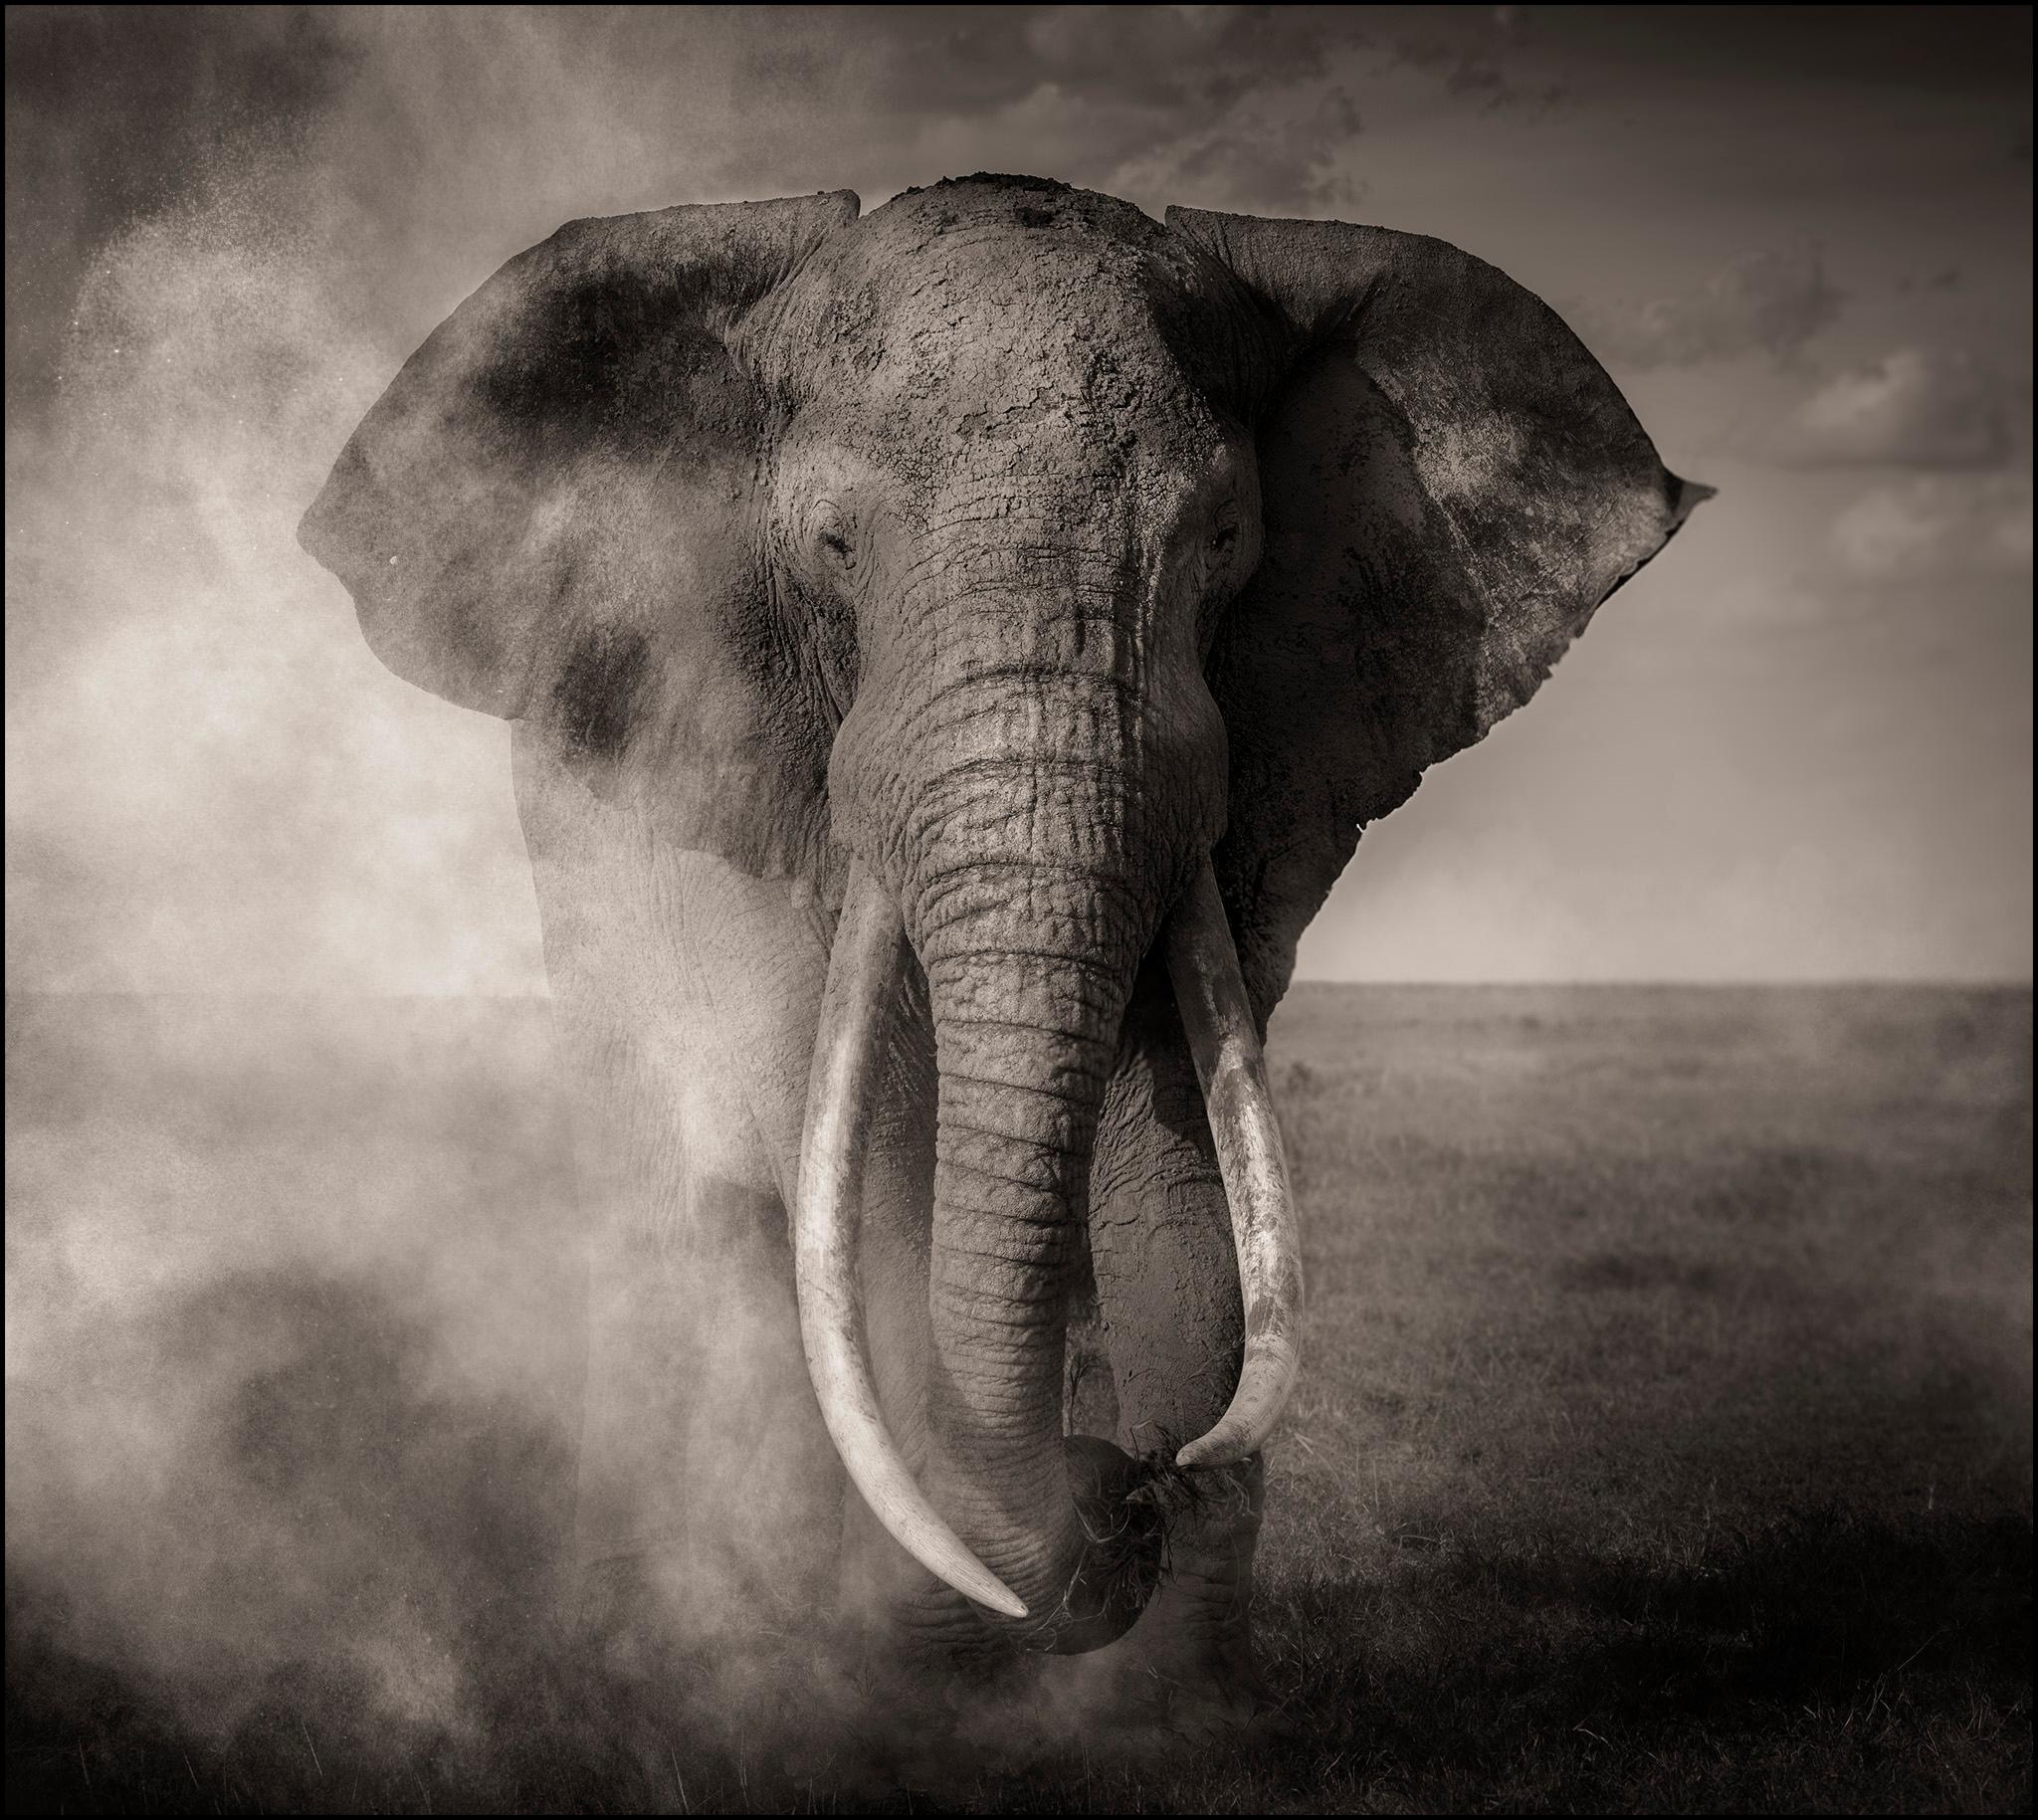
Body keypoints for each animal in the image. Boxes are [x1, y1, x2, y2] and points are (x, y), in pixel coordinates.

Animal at [299, 174, 1705, 1734]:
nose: (1126, 1490)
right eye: (832, 547)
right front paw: (925, 1680)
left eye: (1224, 543)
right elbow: (871, 1148)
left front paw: (1173, 1716)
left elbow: (1183, 1144)